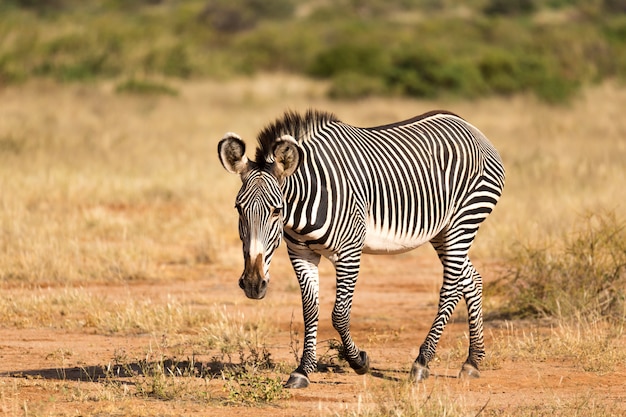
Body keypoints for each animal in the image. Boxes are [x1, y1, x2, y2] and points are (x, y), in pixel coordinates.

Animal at [217, 109, 504, 388]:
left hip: (464, 219)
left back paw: (422, 362)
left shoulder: (350, 251)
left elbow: (339, 315)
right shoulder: (301, 253)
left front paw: (359, 362)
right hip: (442, 231)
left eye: (276, 210)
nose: (253, 284)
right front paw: (302, 371)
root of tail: (469, 126)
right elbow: (310, 311)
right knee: (472, 279)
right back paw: (472, 361)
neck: (307, 199)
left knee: (451, 287)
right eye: (238, 208)